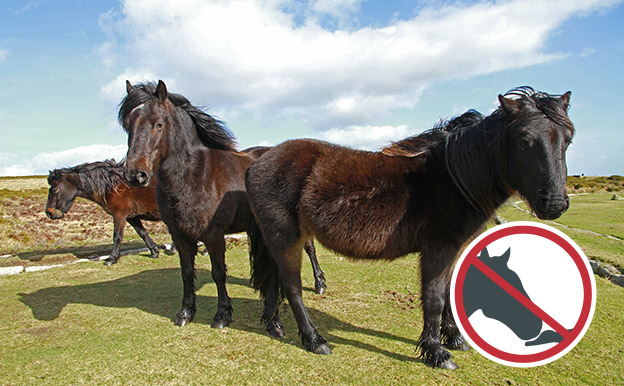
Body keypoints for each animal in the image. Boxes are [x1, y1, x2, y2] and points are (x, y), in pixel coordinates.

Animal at [120, 80, 326, 328]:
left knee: (309, 248)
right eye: (127, 125)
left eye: (158, 124)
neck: (195, 174)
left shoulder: (213, 235)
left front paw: (222, 314)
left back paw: (320, 283)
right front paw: (186, 312)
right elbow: (186, 271)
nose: (135, 175)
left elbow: (218, 273)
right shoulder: (179, 235)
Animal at [245, 86, 576, 368]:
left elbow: (448, 291)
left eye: (568, 139)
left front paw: (454, 338)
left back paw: (274, 325)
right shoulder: (438, 249)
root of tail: (257, 162)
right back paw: (315, 340)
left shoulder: (454, 249)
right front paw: (436, 351)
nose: (554, 204)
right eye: (524, 140)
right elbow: (434, 297)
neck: (454, 177)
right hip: (285, 238)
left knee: (274, 282)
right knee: (292, 287)